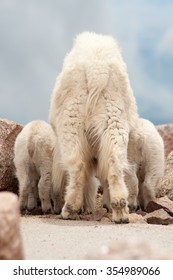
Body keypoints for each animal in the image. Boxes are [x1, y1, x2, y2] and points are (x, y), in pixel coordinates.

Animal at [49, 31, 139, 223]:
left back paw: (69, 209)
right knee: (114, 163)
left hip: (71, 122)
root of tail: (97, 69)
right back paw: (120, 211)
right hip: (114, 119)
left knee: (77, 166)